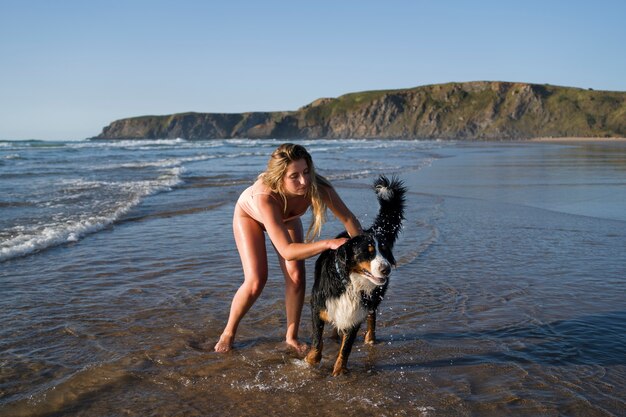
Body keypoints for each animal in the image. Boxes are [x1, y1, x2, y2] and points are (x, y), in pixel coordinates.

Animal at [306, 174, 404, 376]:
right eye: (368, 252)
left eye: (384, 251)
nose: (387, 269)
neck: (350, 283)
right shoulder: (319, 306)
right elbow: (317, 340)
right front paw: (310, 361)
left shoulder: (356, 314)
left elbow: (346, 348)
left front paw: (339, 372)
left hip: (372, 300)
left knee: (372, 317)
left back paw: (370, 338)